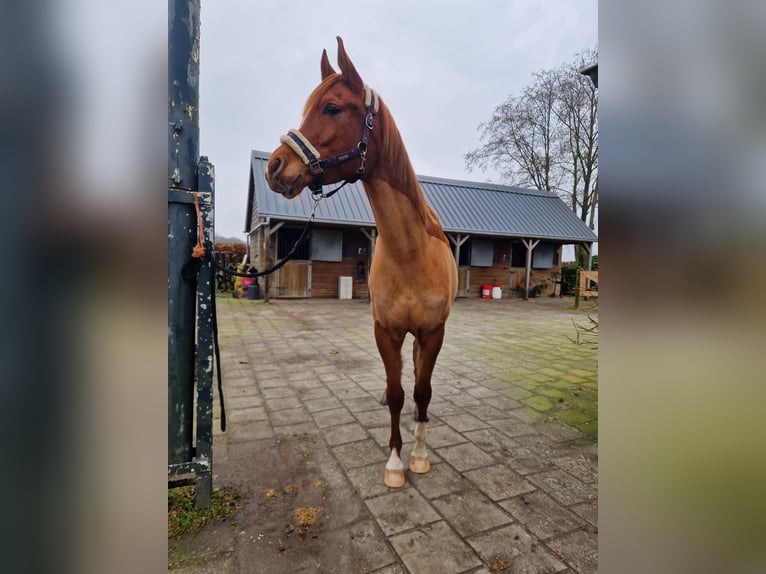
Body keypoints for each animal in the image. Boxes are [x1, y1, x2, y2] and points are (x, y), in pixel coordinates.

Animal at [266, 36, 456, 488]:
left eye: (332, 108)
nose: (275, 167)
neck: (410, 254)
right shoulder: (385, 331)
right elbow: (397, 392)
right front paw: (395, 463)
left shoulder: (433, 332)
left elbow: (421, 390)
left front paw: (419, 456)